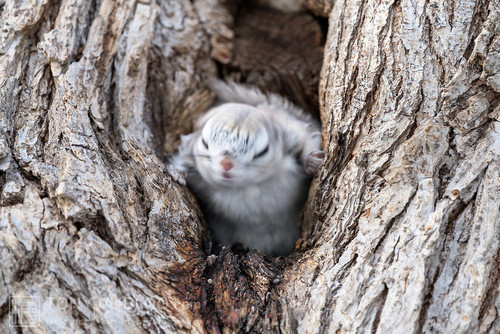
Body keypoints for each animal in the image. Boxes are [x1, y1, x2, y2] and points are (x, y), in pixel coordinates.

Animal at [169, 81, 324, 256]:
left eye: (262, 151)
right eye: (204, 143)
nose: (226, 164)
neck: (244, 186)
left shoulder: (294, 134)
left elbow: (308, 142)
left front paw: (313, 161)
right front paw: (177, 173)